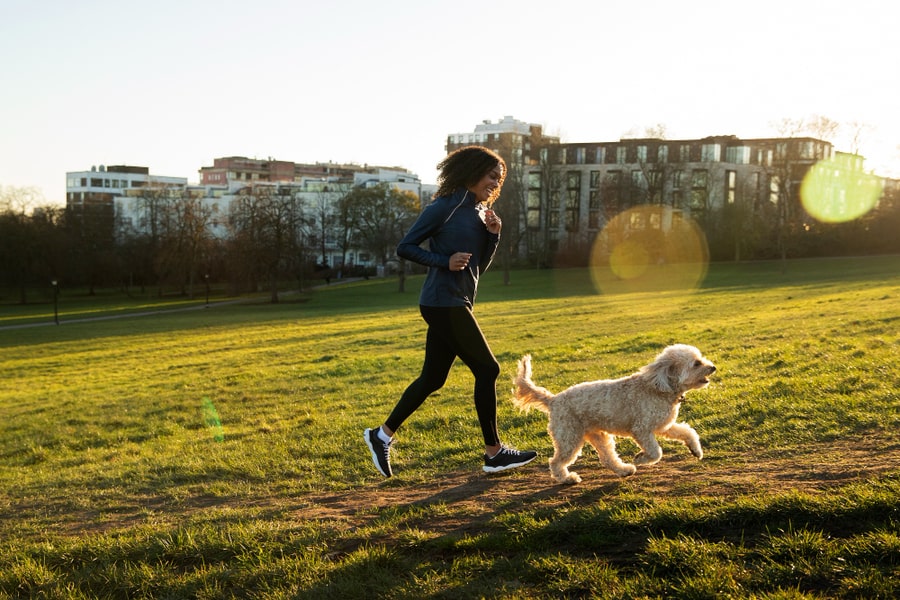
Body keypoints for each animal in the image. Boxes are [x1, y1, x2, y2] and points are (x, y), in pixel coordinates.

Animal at [512, 344, 716, 486]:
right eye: (696, 363)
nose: (713, 367)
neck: (659, 387)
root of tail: (553, 400)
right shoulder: (642, 430)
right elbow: (656, 452)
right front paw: (641, 458)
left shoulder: (664, 426)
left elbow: (688, 432)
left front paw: (696, 451)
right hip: (569, 438)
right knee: (555, 462)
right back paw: (567, 479)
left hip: (598, 436)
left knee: (607, 458)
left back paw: (624, 470)